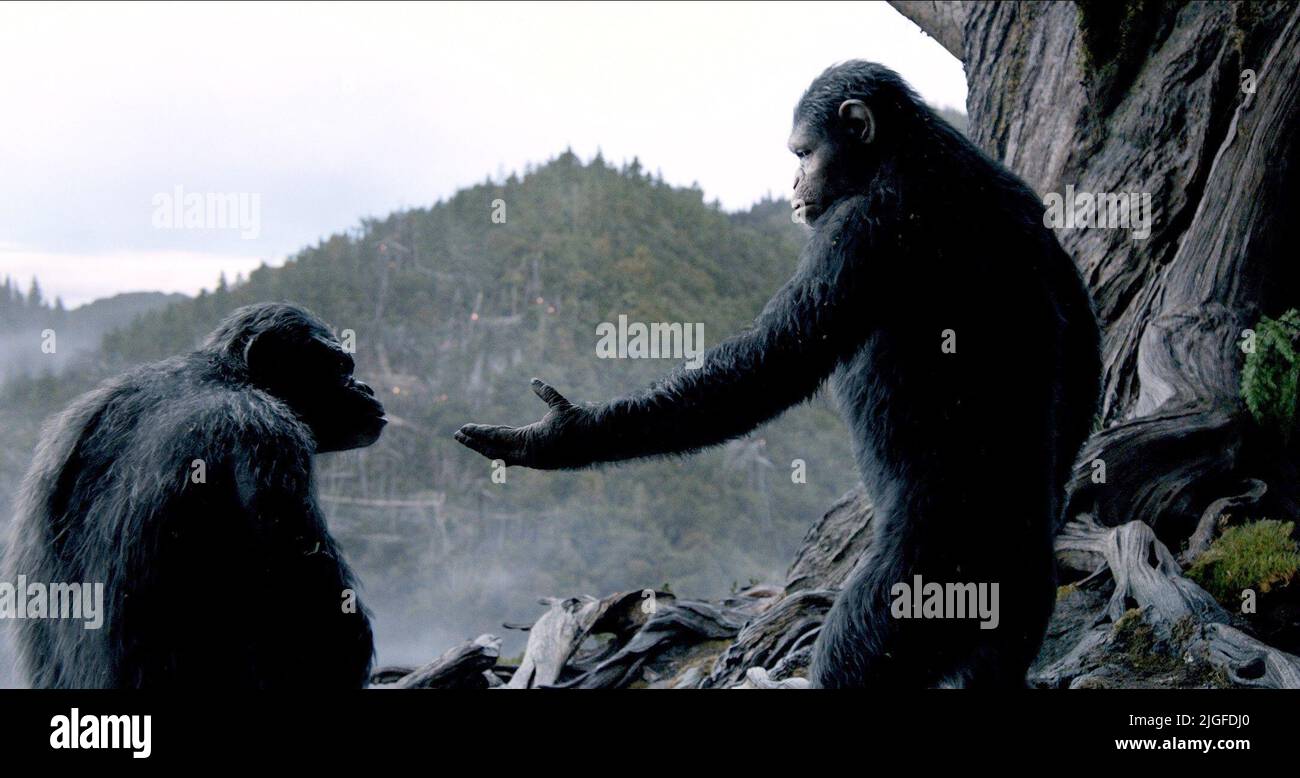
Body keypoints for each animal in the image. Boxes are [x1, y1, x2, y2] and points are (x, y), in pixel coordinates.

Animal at [454, 62, 1097, 686]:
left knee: (852, 653)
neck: (903, 154)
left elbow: (771, 365)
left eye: (802, 153)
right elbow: (1081, 339)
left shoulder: (861, 228)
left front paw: (561, 436)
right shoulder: (1026, 206)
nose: (793, 181)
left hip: (935, 577)